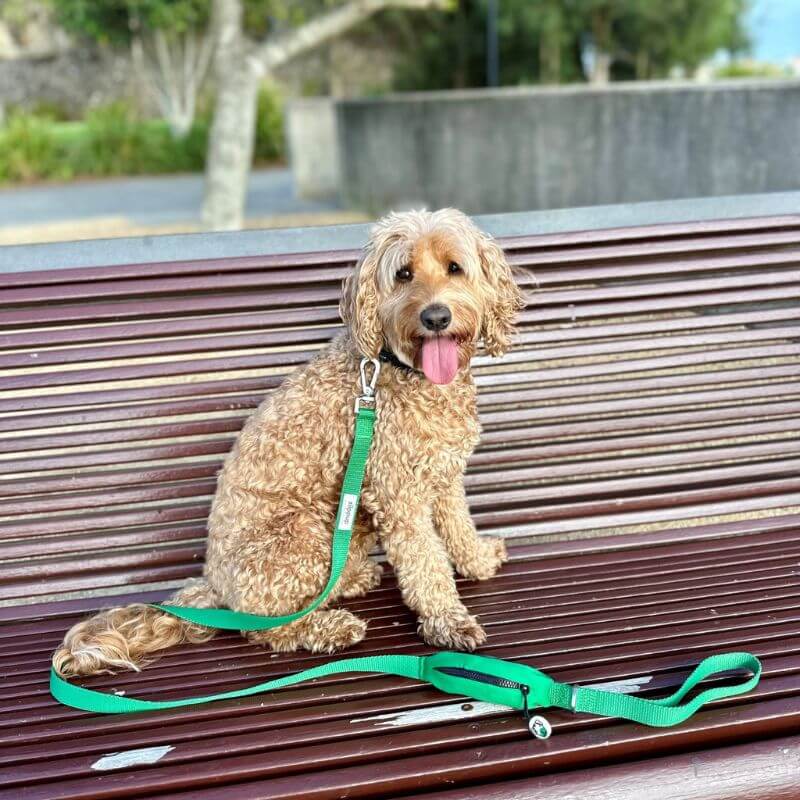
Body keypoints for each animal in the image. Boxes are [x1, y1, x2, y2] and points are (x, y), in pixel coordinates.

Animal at [51, 206, 524, 676]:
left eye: (455, 267)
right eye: (403, 273)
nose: (435, 317)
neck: (399, 370)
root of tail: (215, 588)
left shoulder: (444, 476)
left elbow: (459, 528)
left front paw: (479, 561)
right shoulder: (397, 493)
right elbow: (425, 563)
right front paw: (448, 622)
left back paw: (351, 579)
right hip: (304, 534)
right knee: (268, 627)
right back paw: (328, 627)